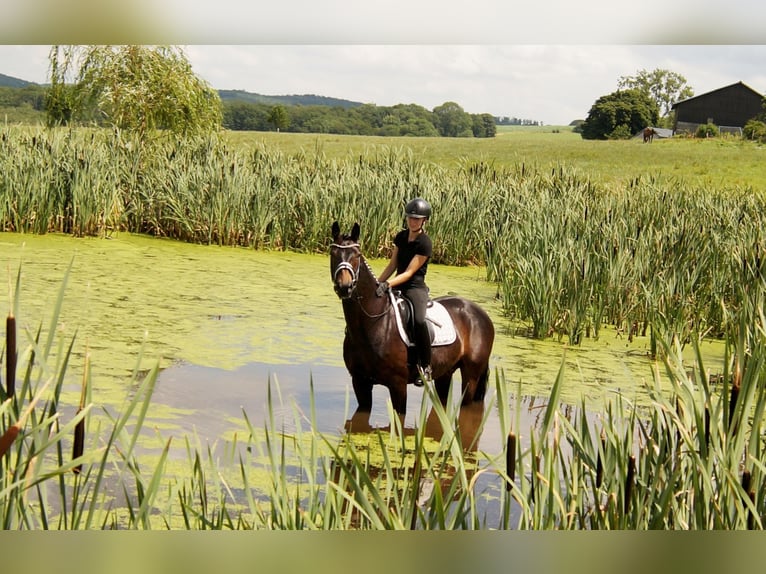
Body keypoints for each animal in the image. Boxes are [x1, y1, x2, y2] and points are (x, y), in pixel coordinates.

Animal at [332, 222, 498, 418]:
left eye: (357, 255)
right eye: (333, 254)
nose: (345, 287)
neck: (372, 324)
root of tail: (481, 313)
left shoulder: (397, 385)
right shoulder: (360, 383)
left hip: (471, 376)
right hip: (445, 373)